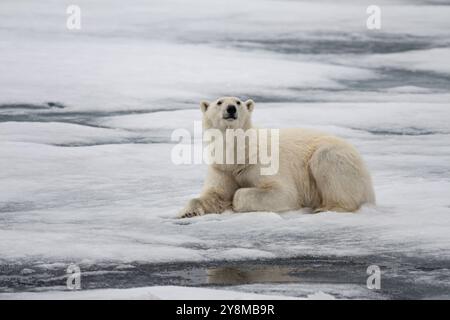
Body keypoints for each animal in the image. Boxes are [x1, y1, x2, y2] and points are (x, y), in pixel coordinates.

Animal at [178, 97, 374, 218]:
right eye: (219, 102)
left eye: (238, 101)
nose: (231, 109)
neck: (239, 155)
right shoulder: (222, 168)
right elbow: (214, 193)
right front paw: (187, 212)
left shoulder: (261, 163)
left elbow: (282, 192)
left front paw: (235, 201)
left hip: (337, 158)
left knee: (327, 163)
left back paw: (326, 208)